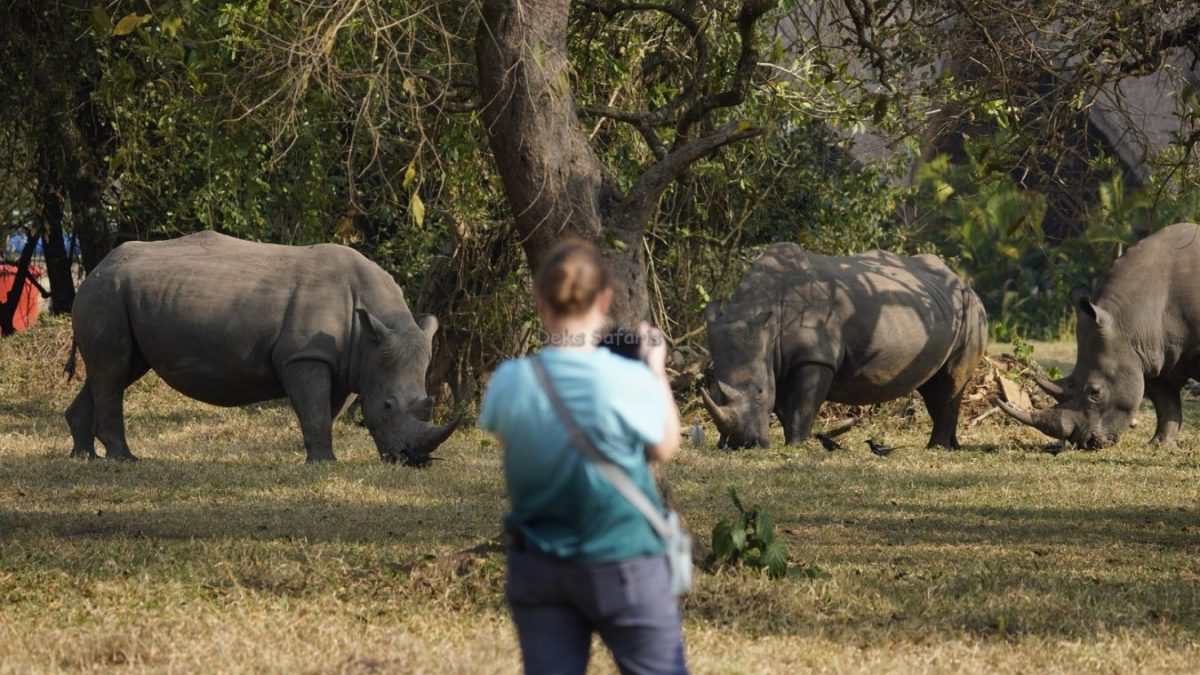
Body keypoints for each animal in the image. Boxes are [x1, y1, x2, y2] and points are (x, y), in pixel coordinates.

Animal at [65, 231, 459, 465]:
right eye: (388, 406)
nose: (414, 460)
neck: (370, 335)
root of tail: (96, 267)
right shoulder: (304, 357)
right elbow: (315, 409)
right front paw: (323, 463)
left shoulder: (349, 363)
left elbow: (327, 410)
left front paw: (317, 456)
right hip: (107, 293)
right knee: (113, 371)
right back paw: (124, 459)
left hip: (119, 294)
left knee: (116, 371)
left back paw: (84, 457)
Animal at [702, 243, 988, 449]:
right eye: (714, 390)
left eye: (760, 393)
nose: (741, 445)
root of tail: (963, 282)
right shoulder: (776, 357)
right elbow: (784, 407)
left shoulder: (815, 356)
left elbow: (801, 406)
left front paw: (796, 444)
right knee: (933, 387)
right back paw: (951, 446)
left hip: (972, 311)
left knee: (951, 380)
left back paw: (936, 448)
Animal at [999, 222, 1200, 449]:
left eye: (1095, 392)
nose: (1085, 443)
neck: (1133, 320)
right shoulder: (1156, 356)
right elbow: (1166, 404)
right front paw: (1159, 446)